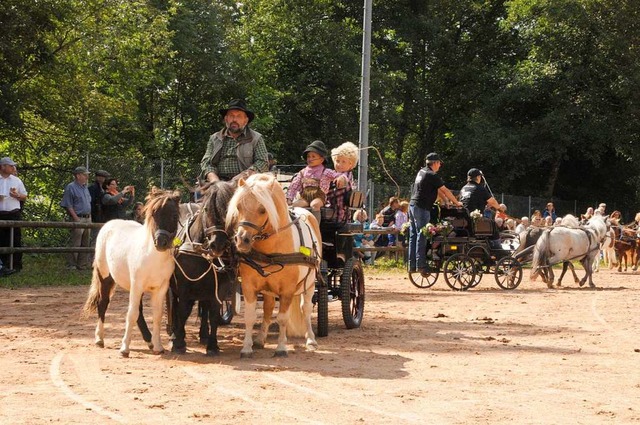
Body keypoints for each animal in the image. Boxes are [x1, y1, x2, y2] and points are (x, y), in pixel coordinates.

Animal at [84, 187, 181, 356]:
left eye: (174, 215)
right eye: (153, 214)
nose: (160, 242)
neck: (152, 256)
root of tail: (108, 224)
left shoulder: (160, 289)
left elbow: (156, 315)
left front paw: (158, 347)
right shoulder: (137, 285)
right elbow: (131, 313)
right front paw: (124, 349)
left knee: (140, 312)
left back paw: (149, 342)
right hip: (105, 278)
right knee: (103, 303)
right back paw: (99, 339)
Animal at [228, 173, 322, 358]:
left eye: (263, 209)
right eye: (239, 207)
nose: (242, 240)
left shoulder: (287, 289)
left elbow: (282, 318)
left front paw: (281, 347)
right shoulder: (249, 286)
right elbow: (250, 316)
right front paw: (247, 347)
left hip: (310, 283)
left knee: (306, 308)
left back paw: (311, 340)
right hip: (269, 290)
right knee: (268, 308)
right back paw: (260, 339)